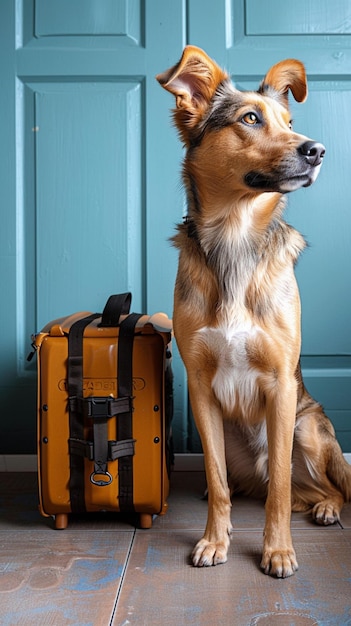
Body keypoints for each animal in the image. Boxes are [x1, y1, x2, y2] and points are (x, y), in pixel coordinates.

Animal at [157, 46, 351, 576]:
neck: (234, 238)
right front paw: (213, 540)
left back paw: (327, 509)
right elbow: (218, 480)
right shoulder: (201, 389)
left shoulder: (282, 385)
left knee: (313, 488)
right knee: (263, 486)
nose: (317, 150)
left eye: (290, 122)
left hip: (307, 426)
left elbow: (280, 490)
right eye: (250, 119)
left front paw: (278, 550)